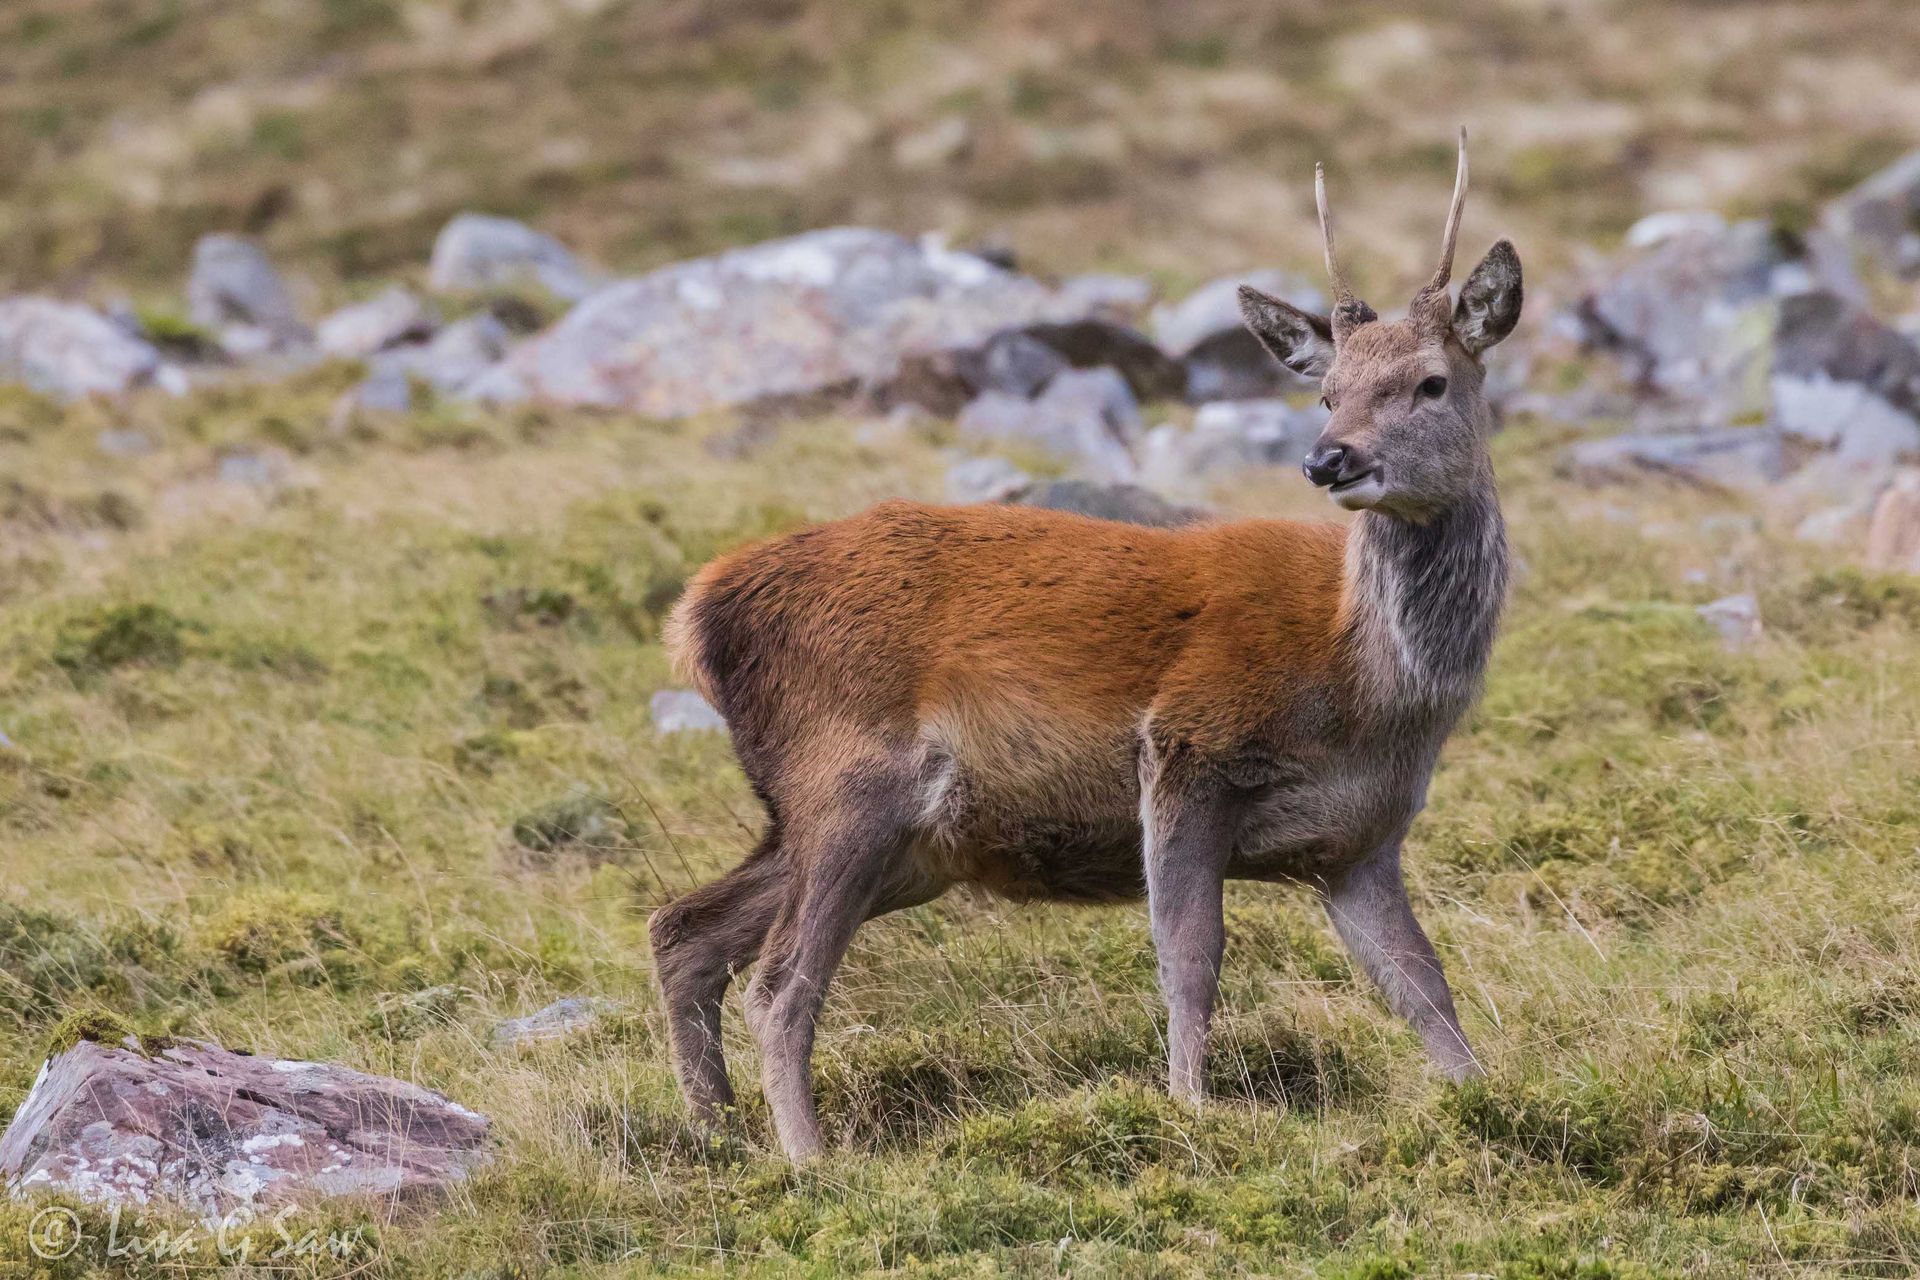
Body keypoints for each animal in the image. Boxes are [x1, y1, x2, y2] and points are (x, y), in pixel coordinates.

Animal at [651, 128, 1523, 1160]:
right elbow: (1190, 956)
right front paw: (1190, 1108)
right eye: (1327, 395)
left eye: (1431, 382)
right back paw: (813, 1161)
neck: (1366, 684)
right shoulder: (1187, 744)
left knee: (685, 929)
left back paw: (716, 1135)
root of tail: (701, 613)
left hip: (881, 837)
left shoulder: (1359, 841)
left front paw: (1487, 1100)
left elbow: (1421, 985)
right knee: (780, 983)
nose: (1330, 460)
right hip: (847, 777)